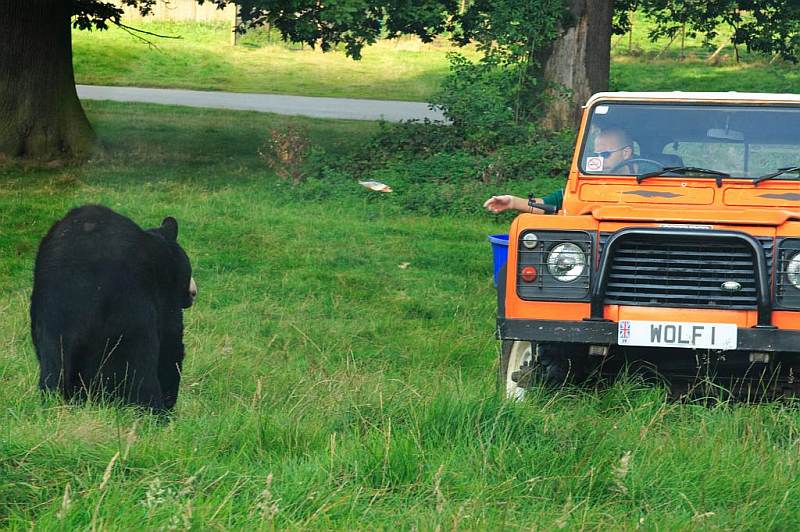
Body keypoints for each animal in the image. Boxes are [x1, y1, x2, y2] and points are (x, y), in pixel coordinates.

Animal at [30, 204, 196, 412]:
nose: (193, 292)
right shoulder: (164, 298)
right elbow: (171, 344)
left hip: (51, 322)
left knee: (54, 370)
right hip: (128, 315)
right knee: (139, 368)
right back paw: (152, 410)